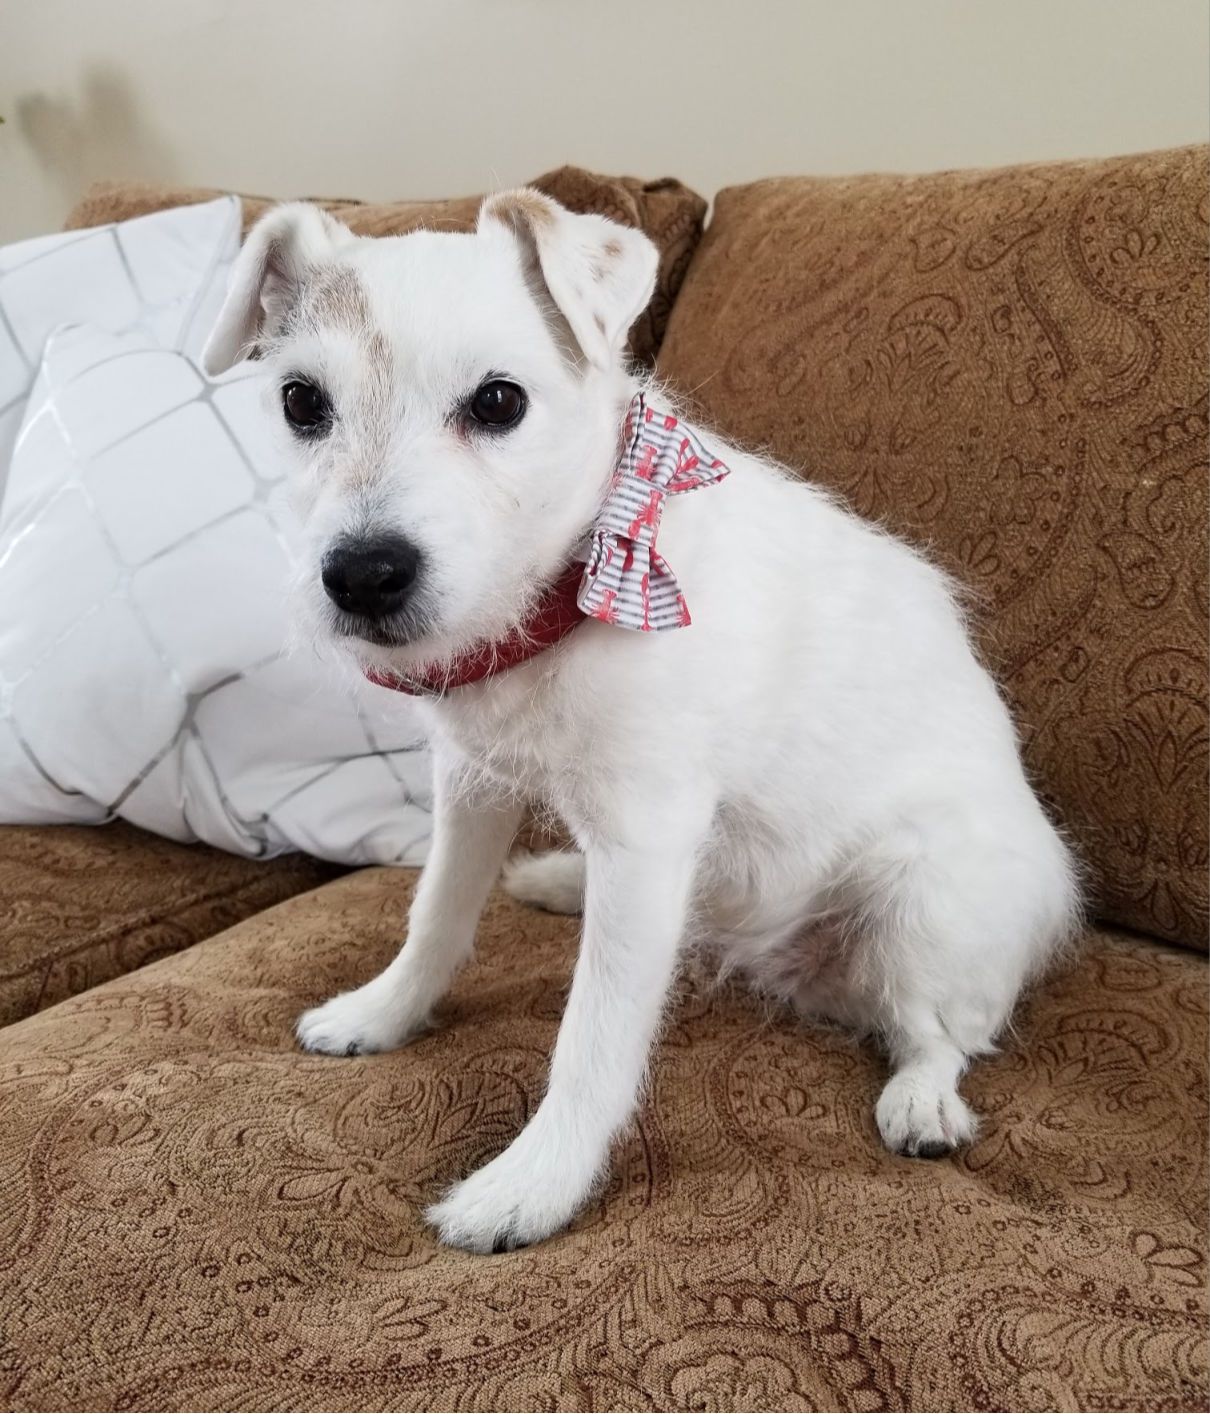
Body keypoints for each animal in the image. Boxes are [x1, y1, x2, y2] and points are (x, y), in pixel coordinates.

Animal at [203, 185, 1079, 1249]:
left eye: (499, 402)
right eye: (301, 402)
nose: (363, 576)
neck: (574, 585)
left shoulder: (647, 837)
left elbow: (594, 1036)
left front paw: (532, 1184)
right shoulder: (472, 788)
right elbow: (436, 915)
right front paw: (384, 1012)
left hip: (925, 908)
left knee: (939, 1033)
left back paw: (922, 1099)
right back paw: (557, 881)